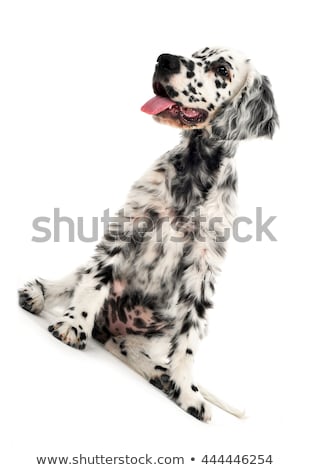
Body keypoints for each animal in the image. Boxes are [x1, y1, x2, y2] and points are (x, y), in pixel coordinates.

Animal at [18, 46, 278, 422]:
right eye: (196, 52)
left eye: (222, 69)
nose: (164, 59)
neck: (197, 169)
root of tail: (108, 328)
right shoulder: (130, 224)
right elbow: (93, 283)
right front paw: (74, 325)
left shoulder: (204, 264)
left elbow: (189, 339)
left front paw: (186, 390)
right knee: (72, 281)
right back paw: (39, 295)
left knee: (128, 346)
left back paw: (161, 375)